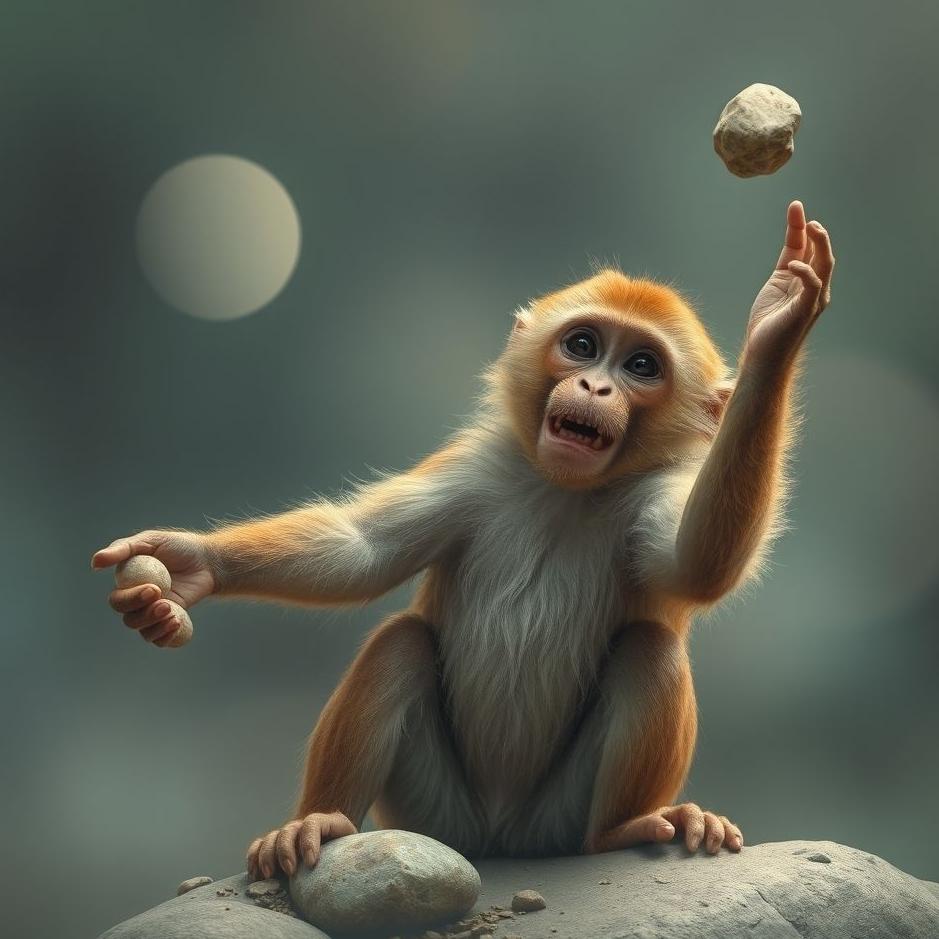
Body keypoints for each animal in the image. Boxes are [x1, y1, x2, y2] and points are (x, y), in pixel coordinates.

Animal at [92, 200, 834, 880]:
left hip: (556, 818)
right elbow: (360, 552)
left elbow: (696, 562)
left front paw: (779, 329)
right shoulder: (477, 470)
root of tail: (501, 837)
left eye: (642, 365)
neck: (564, 490)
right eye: (584, 346)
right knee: (399, 645)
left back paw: (625, 828)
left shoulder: (652, 489)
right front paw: (189, 565)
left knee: (647, 651)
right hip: (432, 813)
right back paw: (320, 821)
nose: (594, 386)